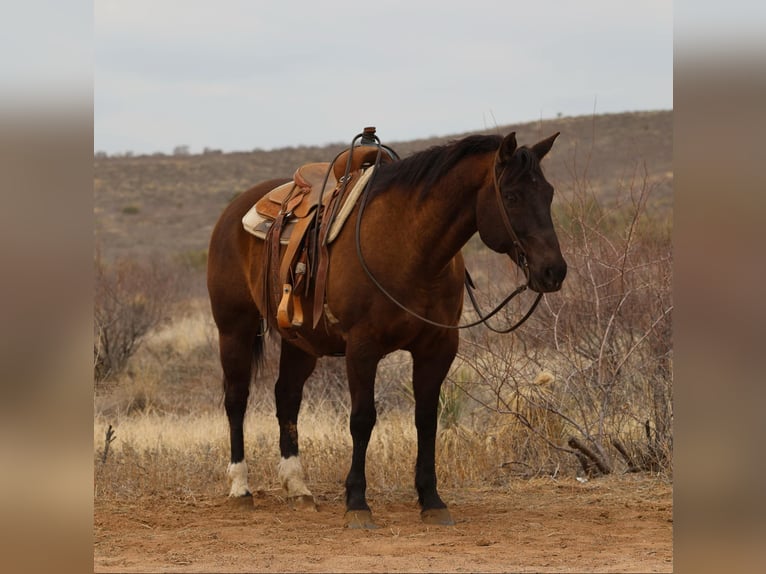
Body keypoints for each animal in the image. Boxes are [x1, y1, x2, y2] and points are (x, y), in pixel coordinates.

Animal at [206, 130, 567, 528]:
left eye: (548, 193)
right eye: (512, 196)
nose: (554, 271)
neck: (410, 246)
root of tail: (234, 210)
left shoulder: (438, 347)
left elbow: (426, 419)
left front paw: (431, 499)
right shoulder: (362, 348)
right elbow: (363, 419)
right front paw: (356, 502)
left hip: (300, 342)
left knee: (286, 397)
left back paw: (298, 488)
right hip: (234, 329)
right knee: (236, 399)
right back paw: (241, 487)